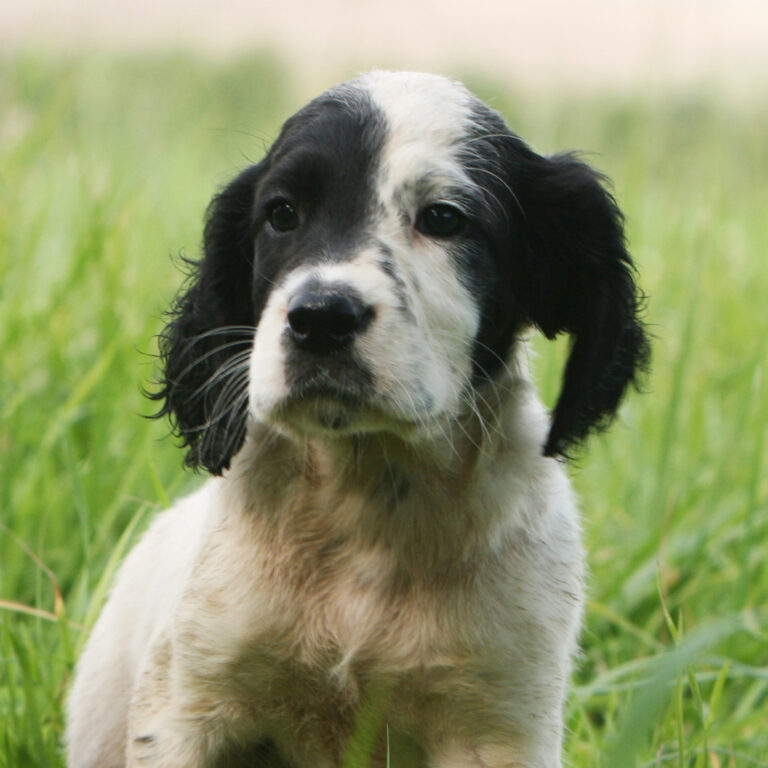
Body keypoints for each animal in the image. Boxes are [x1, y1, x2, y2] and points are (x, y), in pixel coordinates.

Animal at [66, 72, 648, 768]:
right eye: (282, 214)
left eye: (444, 219)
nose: (320, 317)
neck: (365, 501)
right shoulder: (187, 704)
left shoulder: (500, 722)